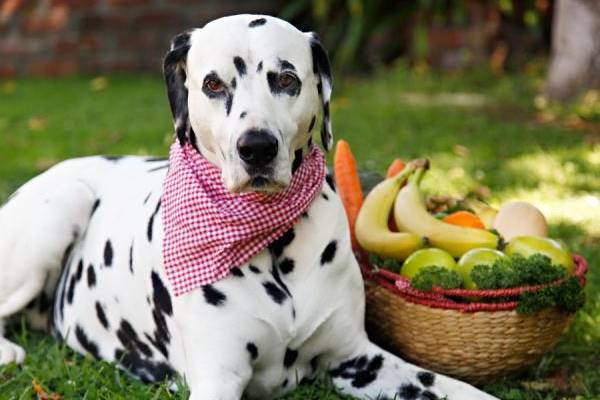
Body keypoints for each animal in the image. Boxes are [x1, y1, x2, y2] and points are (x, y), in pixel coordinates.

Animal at [0, 14, 496, 400]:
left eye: (287, 79)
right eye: (213, 84)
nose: (256, 147)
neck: (268, 240)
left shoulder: (358, 358)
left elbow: (456, 388)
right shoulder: (218, 378)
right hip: (61, 208)